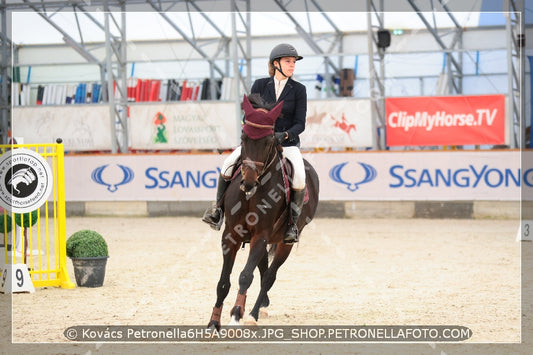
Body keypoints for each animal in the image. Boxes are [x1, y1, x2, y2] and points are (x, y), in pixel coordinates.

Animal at [207, 94, 316, 330]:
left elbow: (245, 276)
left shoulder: (261, 235)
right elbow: (223, 282)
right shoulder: (230, 234)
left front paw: (236, 317)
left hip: (284, 241)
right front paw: (213, 323)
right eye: (243, 137)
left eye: (269, 141)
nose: (248, 182)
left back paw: (252, 314)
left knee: (269, 276)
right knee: (263, 268)